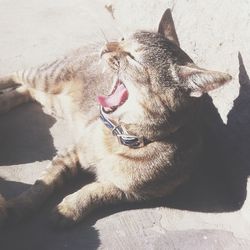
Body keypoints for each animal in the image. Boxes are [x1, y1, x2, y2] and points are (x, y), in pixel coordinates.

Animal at [0, 8, 231, 227]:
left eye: (133, 57)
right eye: (122, 39)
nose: (105, 46)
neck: (120, 136)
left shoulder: (133, 193)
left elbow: (96, 191)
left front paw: (70, 208)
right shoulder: (72, 151)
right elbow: (43, 183)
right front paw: (21, 205)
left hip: (51, 100)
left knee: (25, 90)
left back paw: (4, 102)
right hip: (46, 77)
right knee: (16, 76)